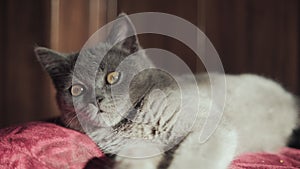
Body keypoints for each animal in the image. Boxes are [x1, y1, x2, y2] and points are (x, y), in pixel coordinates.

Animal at [36, 13, 298, 168]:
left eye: (112, 76)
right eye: (76, 89)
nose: (96, 99)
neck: (134, 123)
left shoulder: (208, 128)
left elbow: (192, 160)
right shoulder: (134, 148)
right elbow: (132, 162)